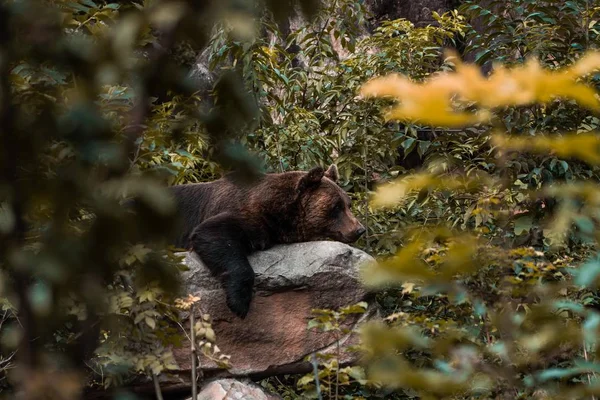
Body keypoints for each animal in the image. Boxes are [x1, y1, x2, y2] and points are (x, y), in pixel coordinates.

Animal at [170, 165, 366, 318]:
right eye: (336, 206)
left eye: (348, 204)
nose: (360, 229)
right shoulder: (244, 212)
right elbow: (214, 233)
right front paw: (239, 303)